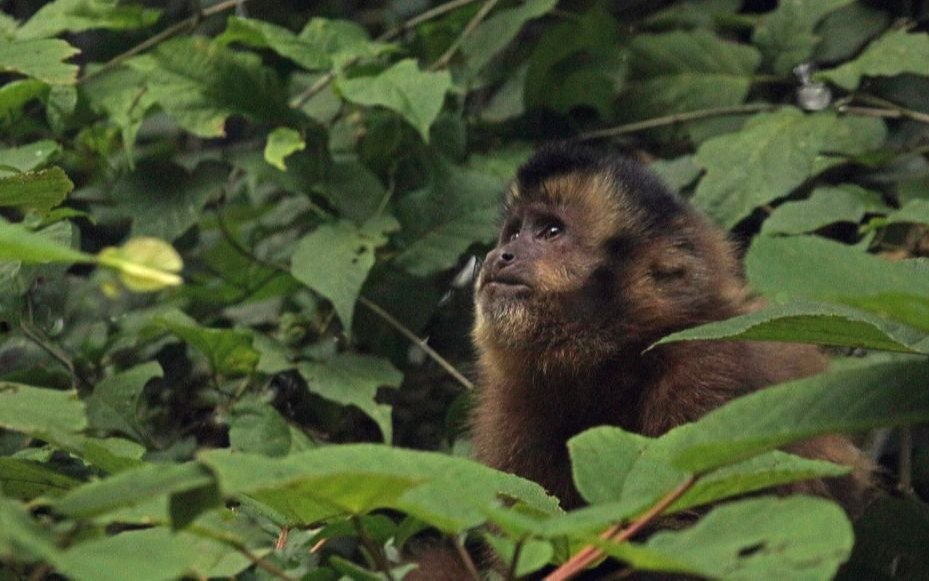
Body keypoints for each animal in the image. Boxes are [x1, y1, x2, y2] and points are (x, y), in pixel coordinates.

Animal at [410, 143, 872, 576]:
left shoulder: (707, 375)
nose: (499, 255)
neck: (617, 364)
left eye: (550, 231)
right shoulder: (513, 405)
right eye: (512, 233)